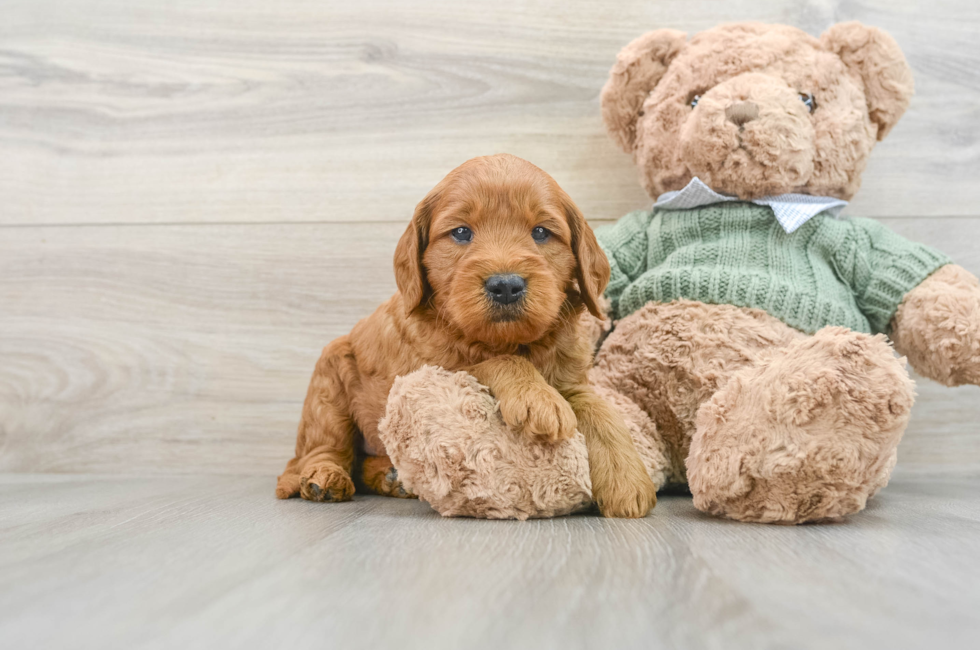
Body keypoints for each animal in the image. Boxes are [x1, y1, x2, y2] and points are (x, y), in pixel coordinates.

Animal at [276, 153, 660, 516]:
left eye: (540, 233)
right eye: (461, 233)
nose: (505, 285)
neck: (508, 340)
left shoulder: (571, 377)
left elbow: (600, 409)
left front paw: (627, 481)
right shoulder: (431, 368)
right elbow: (497, 363)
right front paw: (537, 397)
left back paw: (390, 476)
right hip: (329, 385)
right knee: (323, 450)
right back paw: (324, 478)